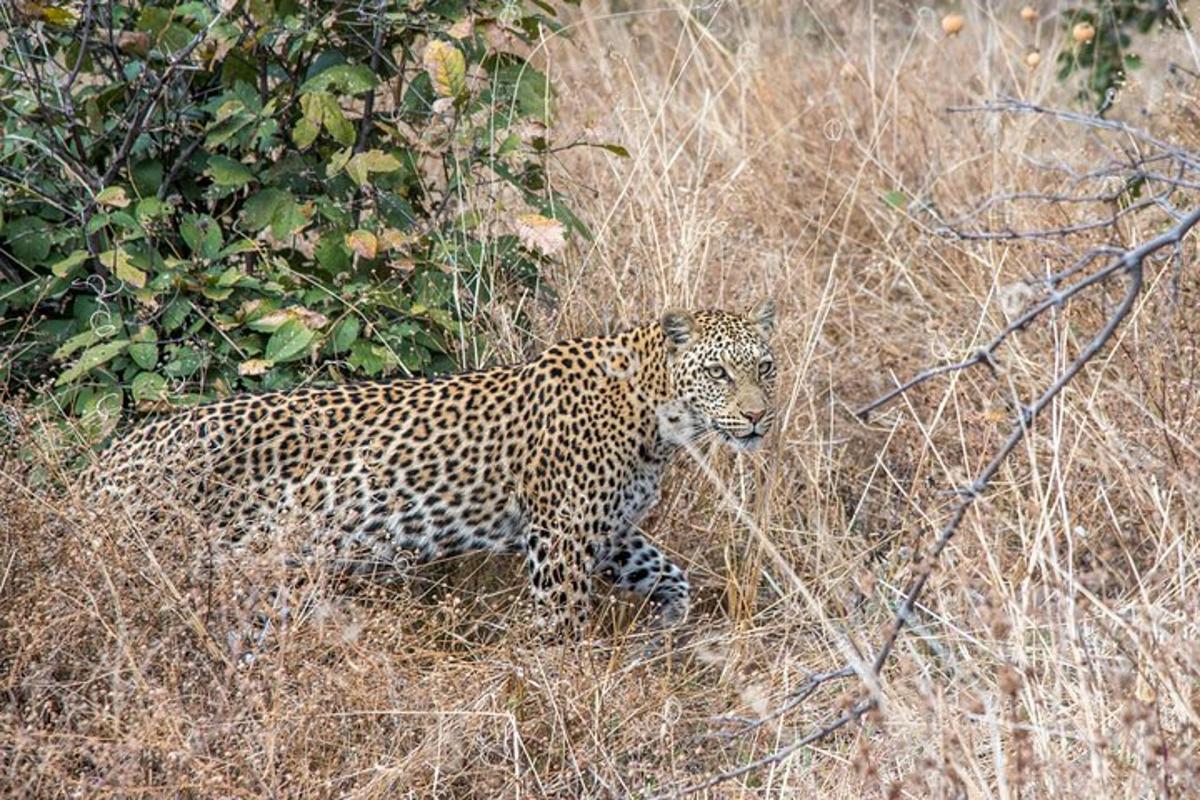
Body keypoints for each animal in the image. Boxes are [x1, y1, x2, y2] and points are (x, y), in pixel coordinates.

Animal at [84, 299, 777, 633]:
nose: (758, 417)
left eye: (765, 367)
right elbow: (562, 620)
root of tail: (105, 461)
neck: (660, 419)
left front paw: (668, 629)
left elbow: (670, 573)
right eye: (720, 372)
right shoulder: (562, 533)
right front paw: (563, 687)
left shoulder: (606, 528)